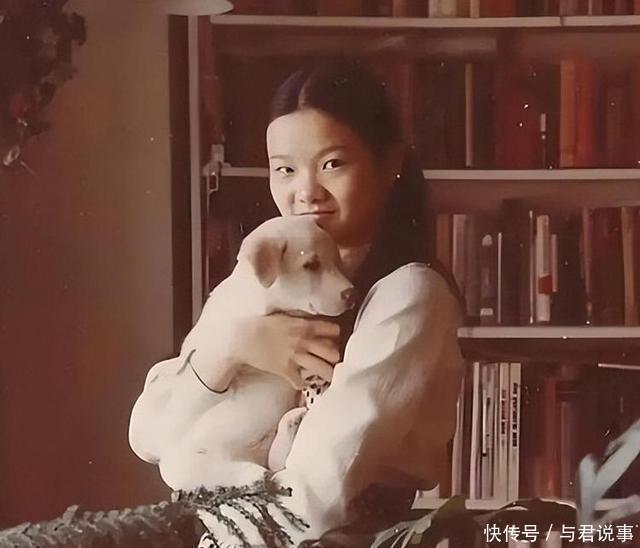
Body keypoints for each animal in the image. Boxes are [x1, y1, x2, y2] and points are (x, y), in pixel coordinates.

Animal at [144, 215, 354, 491]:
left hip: (267, 451)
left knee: (277, 459)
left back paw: (293, 420)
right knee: (247, 472)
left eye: (337, 260)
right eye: (310, 265)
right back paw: (257, 473)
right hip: (192, 467)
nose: (351, 294)